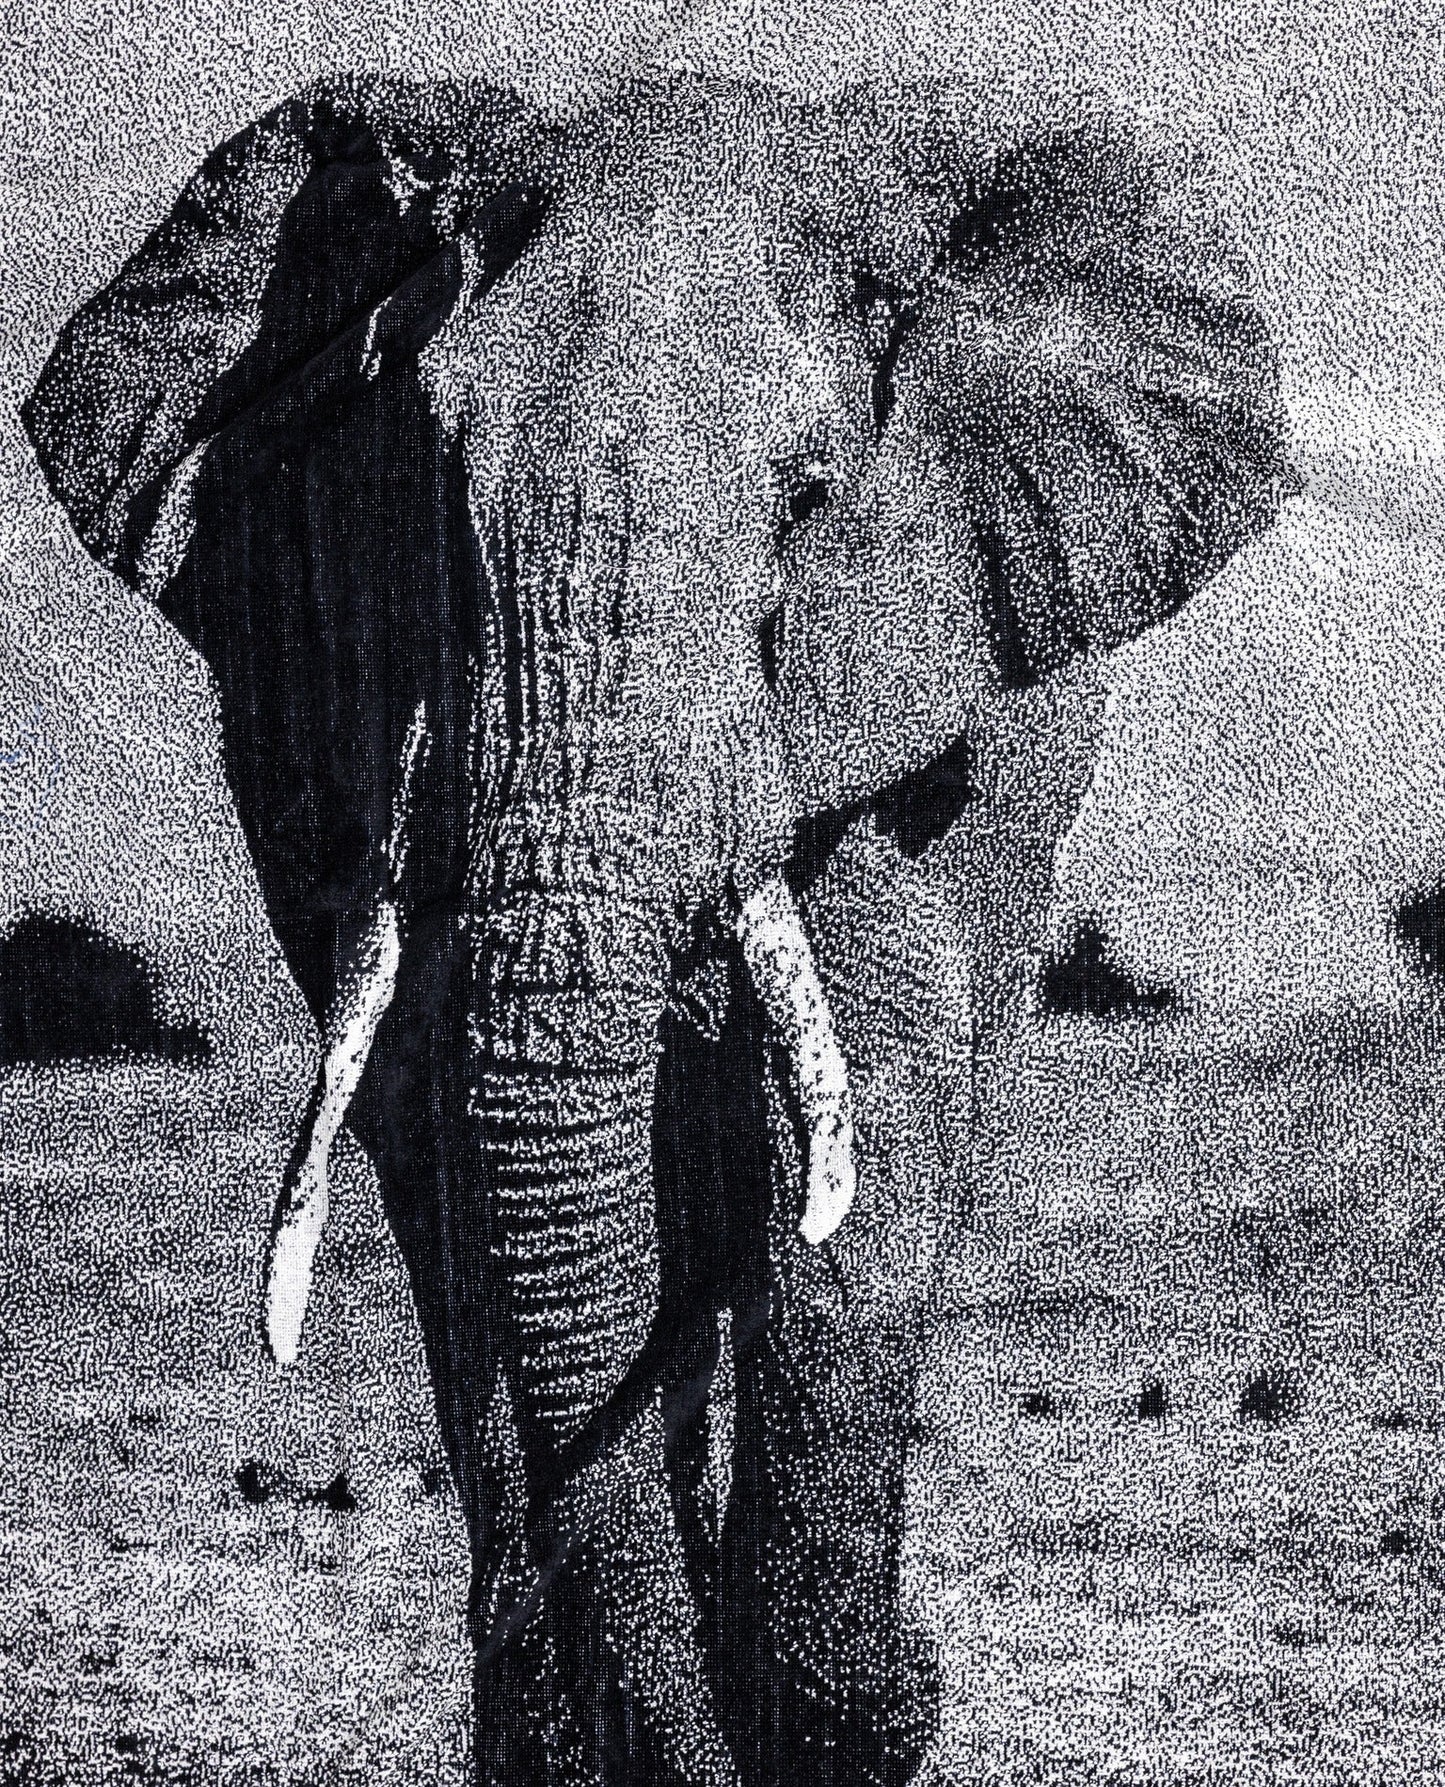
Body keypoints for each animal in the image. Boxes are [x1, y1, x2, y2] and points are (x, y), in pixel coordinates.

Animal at [22, 71, 1291, 1785]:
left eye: (810, 506)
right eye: (425, 501)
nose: (921, 1684)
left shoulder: (892, 703)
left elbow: (869, 1117)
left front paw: (846, 1714)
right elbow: (463, 1138)